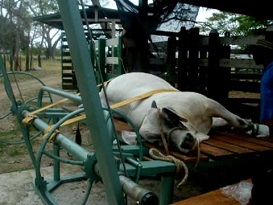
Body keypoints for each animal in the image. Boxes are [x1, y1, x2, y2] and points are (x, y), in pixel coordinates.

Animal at [98, 72, 268, 154]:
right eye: (158, 141)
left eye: (169, 120)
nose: (185, 142)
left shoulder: (210, 103)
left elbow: (233, 119)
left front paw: (249, 126)